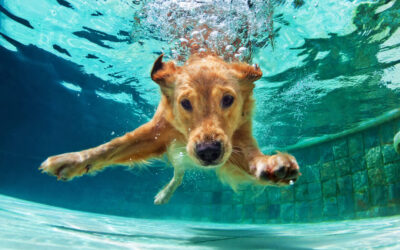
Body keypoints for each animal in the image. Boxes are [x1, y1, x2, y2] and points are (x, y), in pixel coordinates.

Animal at [39, 51, 300, 204]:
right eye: (185, 103)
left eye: (228, 99)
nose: (208, 152)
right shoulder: (156, 132)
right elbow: (112, 146)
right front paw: (72, 161)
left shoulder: (238, 139)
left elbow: (253, 158)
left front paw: (273, 165)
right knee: (178, 172)